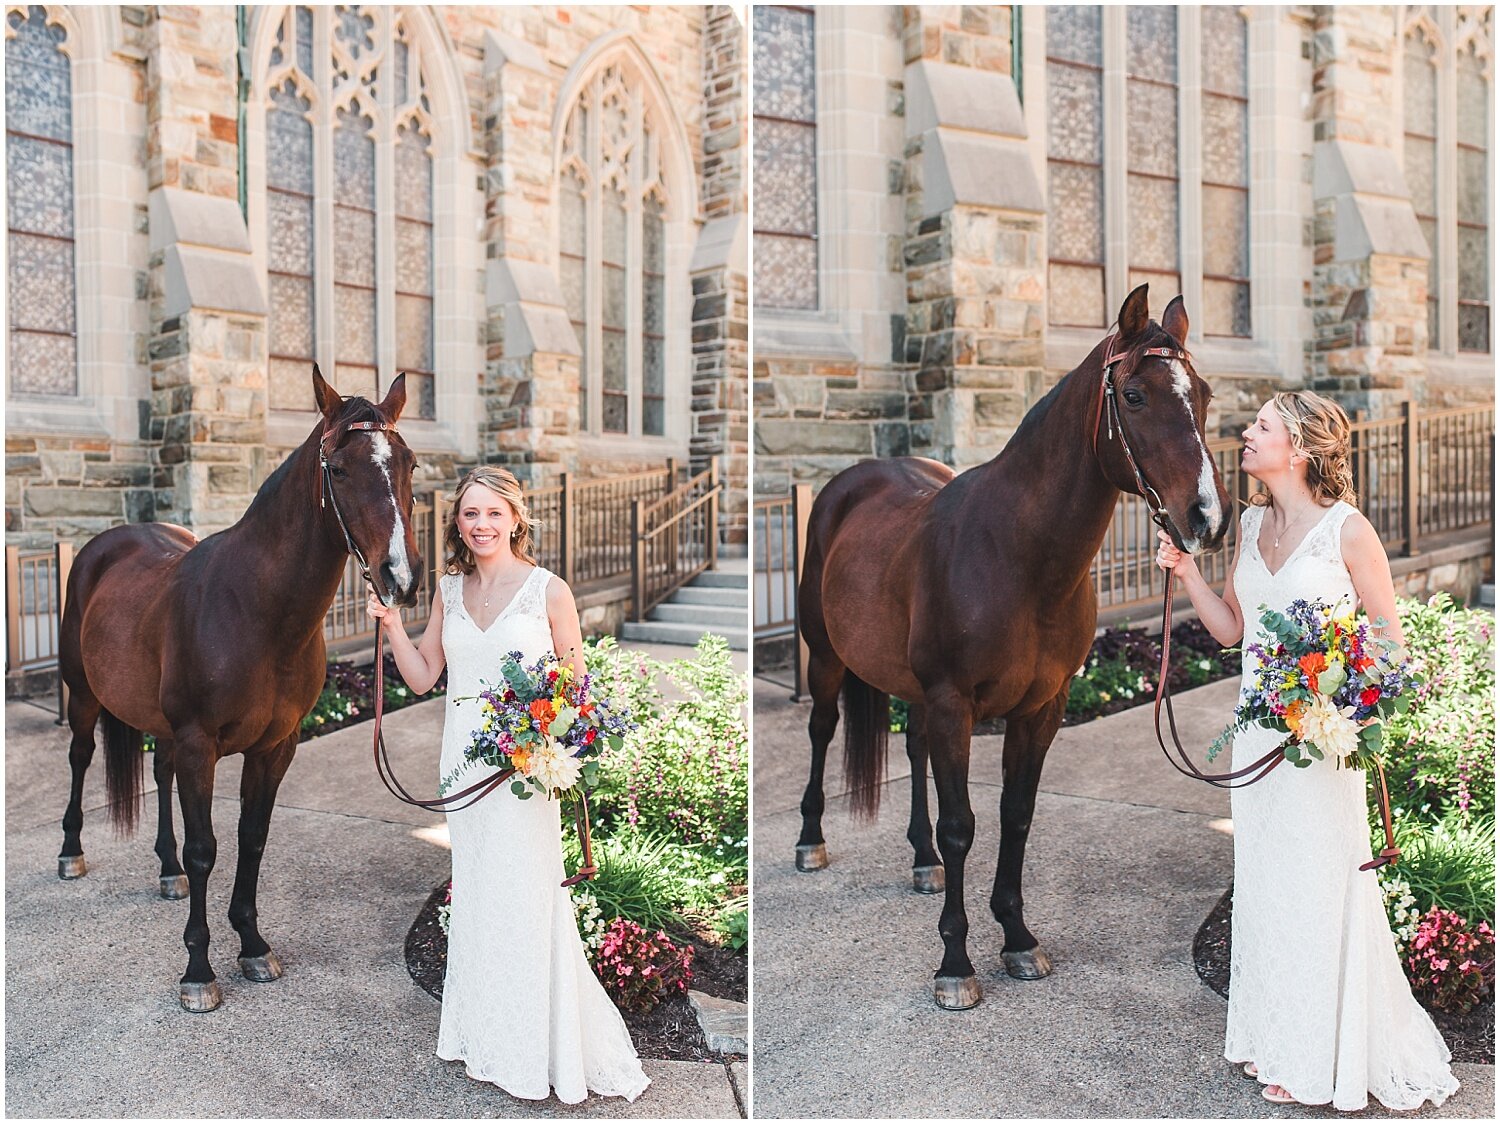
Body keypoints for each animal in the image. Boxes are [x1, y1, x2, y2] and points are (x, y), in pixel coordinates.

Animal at [58, 366, 423, 1008]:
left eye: (409, 463)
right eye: (340, 468)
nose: (401, 578)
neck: (256, 611)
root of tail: (105, 544)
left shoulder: (276, 745)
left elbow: (252, 837)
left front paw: (252, 944)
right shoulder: (200, 743)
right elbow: (207, 848)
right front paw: (198, 971)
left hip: (163, 729)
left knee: (160, 774)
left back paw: (167, 871)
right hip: (83, 696)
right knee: (80, 757)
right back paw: (71, 854)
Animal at [798, 282, 1230, 1008]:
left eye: (1201, 393)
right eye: (1134, 395)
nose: (1207, 519)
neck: (1016, 555)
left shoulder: (1041, 708)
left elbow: (1017, 815)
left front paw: (1018, 939)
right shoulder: (955, 704)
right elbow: (963, 825)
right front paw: (955, 964)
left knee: (913, 748)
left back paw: (922, 862)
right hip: (829, 662)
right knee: (822, 732)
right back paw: (810, 842)